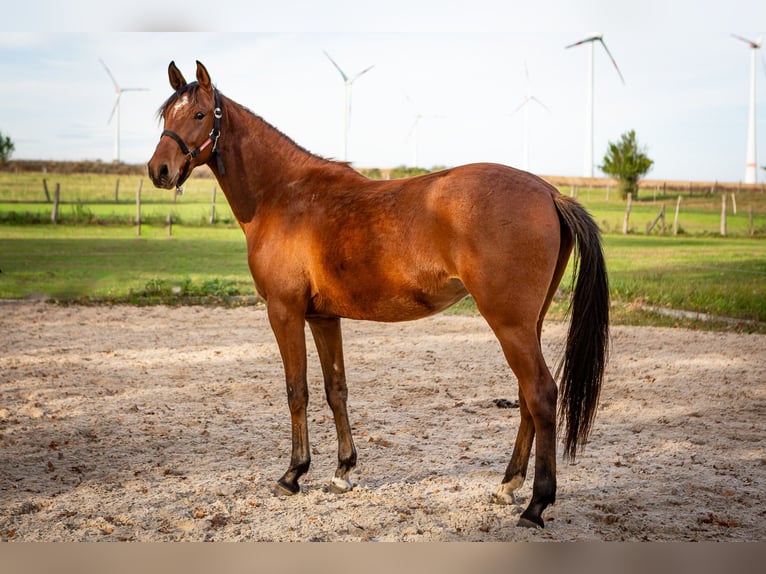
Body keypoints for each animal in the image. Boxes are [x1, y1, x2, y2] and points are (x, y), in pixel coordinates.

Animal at [148, 61, 609, 529]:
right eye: (167, 115)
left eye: (199, 114)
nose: (159, 170)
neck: (283, 195)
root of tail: (548, 191)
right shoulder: (322, 317)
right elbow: (335, 389)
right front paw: (342, 471)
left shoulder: (284, 312)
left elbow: (297, 390)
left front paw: (293, 474)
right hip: (527, 324)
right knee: (526, 398)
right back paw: (507, 486)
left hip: (509, 324)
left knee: (541, 394)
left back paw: (536, 504)